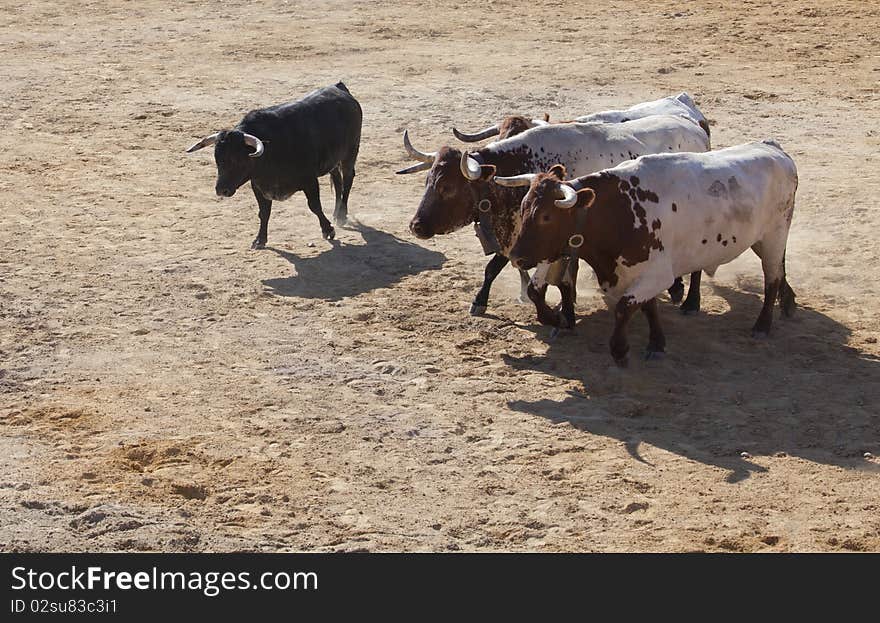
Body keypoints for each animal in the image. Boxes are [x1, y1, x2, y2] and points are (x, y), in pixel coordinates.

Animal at [398, 115, 708, 326]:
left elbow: (537, 281)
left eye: (447, 187)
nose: (416, 226)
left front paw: (553, 314)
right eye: (428, 181)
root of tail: (694, 127)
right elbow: (500, 268)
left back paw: (690, 300)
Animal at [498, 141, 800, 366]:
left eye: (546, 216)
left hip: (774, 236)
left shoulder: (657, 274)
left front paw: (620, 349)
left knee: (772, 277)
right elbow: (647, 307)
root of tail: (776, 150)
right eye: (523, 208)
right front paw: (656, 342)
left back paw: (762, 325)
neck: (619, 210)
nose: (516, 257)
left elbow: (625, 307)